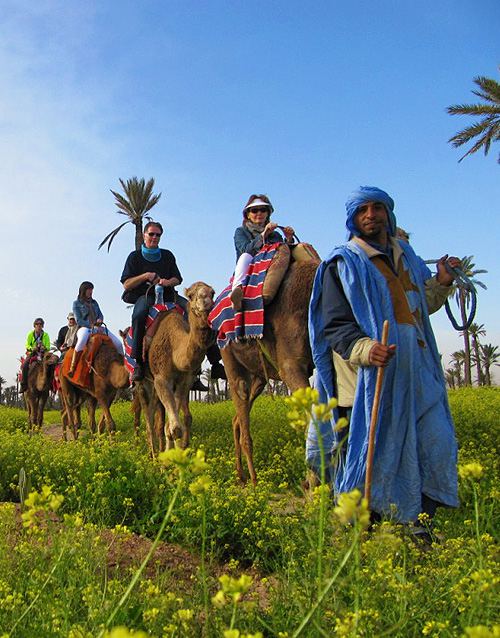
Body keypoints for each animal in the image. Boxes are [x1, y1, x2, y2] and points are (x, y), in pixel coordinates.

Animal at [137, 282, 215, 458]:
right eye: (191, 295)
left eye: (212, 293)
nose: (206, 300)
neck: (175, 350)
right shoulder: (162, 379)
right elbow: (175, 428)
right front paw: (167, 461)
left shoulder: (184, 381)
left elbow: (172, 427)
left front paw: (176, 456)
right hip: (142, 383)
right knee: (148, 420)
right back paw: (152, 455)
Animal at [220, 260, 320, 484]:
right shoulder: (291, 364)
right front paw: (313, 484)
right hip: (228, 355)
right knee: (240, 396)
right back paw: (254, 481)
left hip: (258, 376)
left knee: (238, 417)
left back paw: (241, 476)